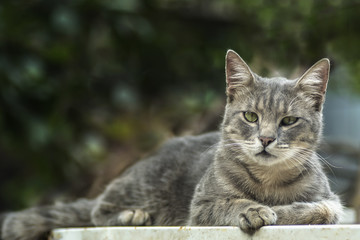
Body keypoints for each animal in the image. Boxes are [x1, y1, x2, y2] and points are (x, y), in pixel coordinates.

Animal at [0, 49, 344, 239]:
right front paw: (254, 210)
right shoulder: (201, 207)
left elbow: (319, 209)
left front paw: (281, 210)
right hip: (139, 186)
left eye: (288, 121)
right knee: (99, 208)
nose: (266, 138)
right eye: (250, 116)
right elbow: (230, 203)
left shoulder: (332, 202)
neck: (269, 183)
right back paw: (132, 215)